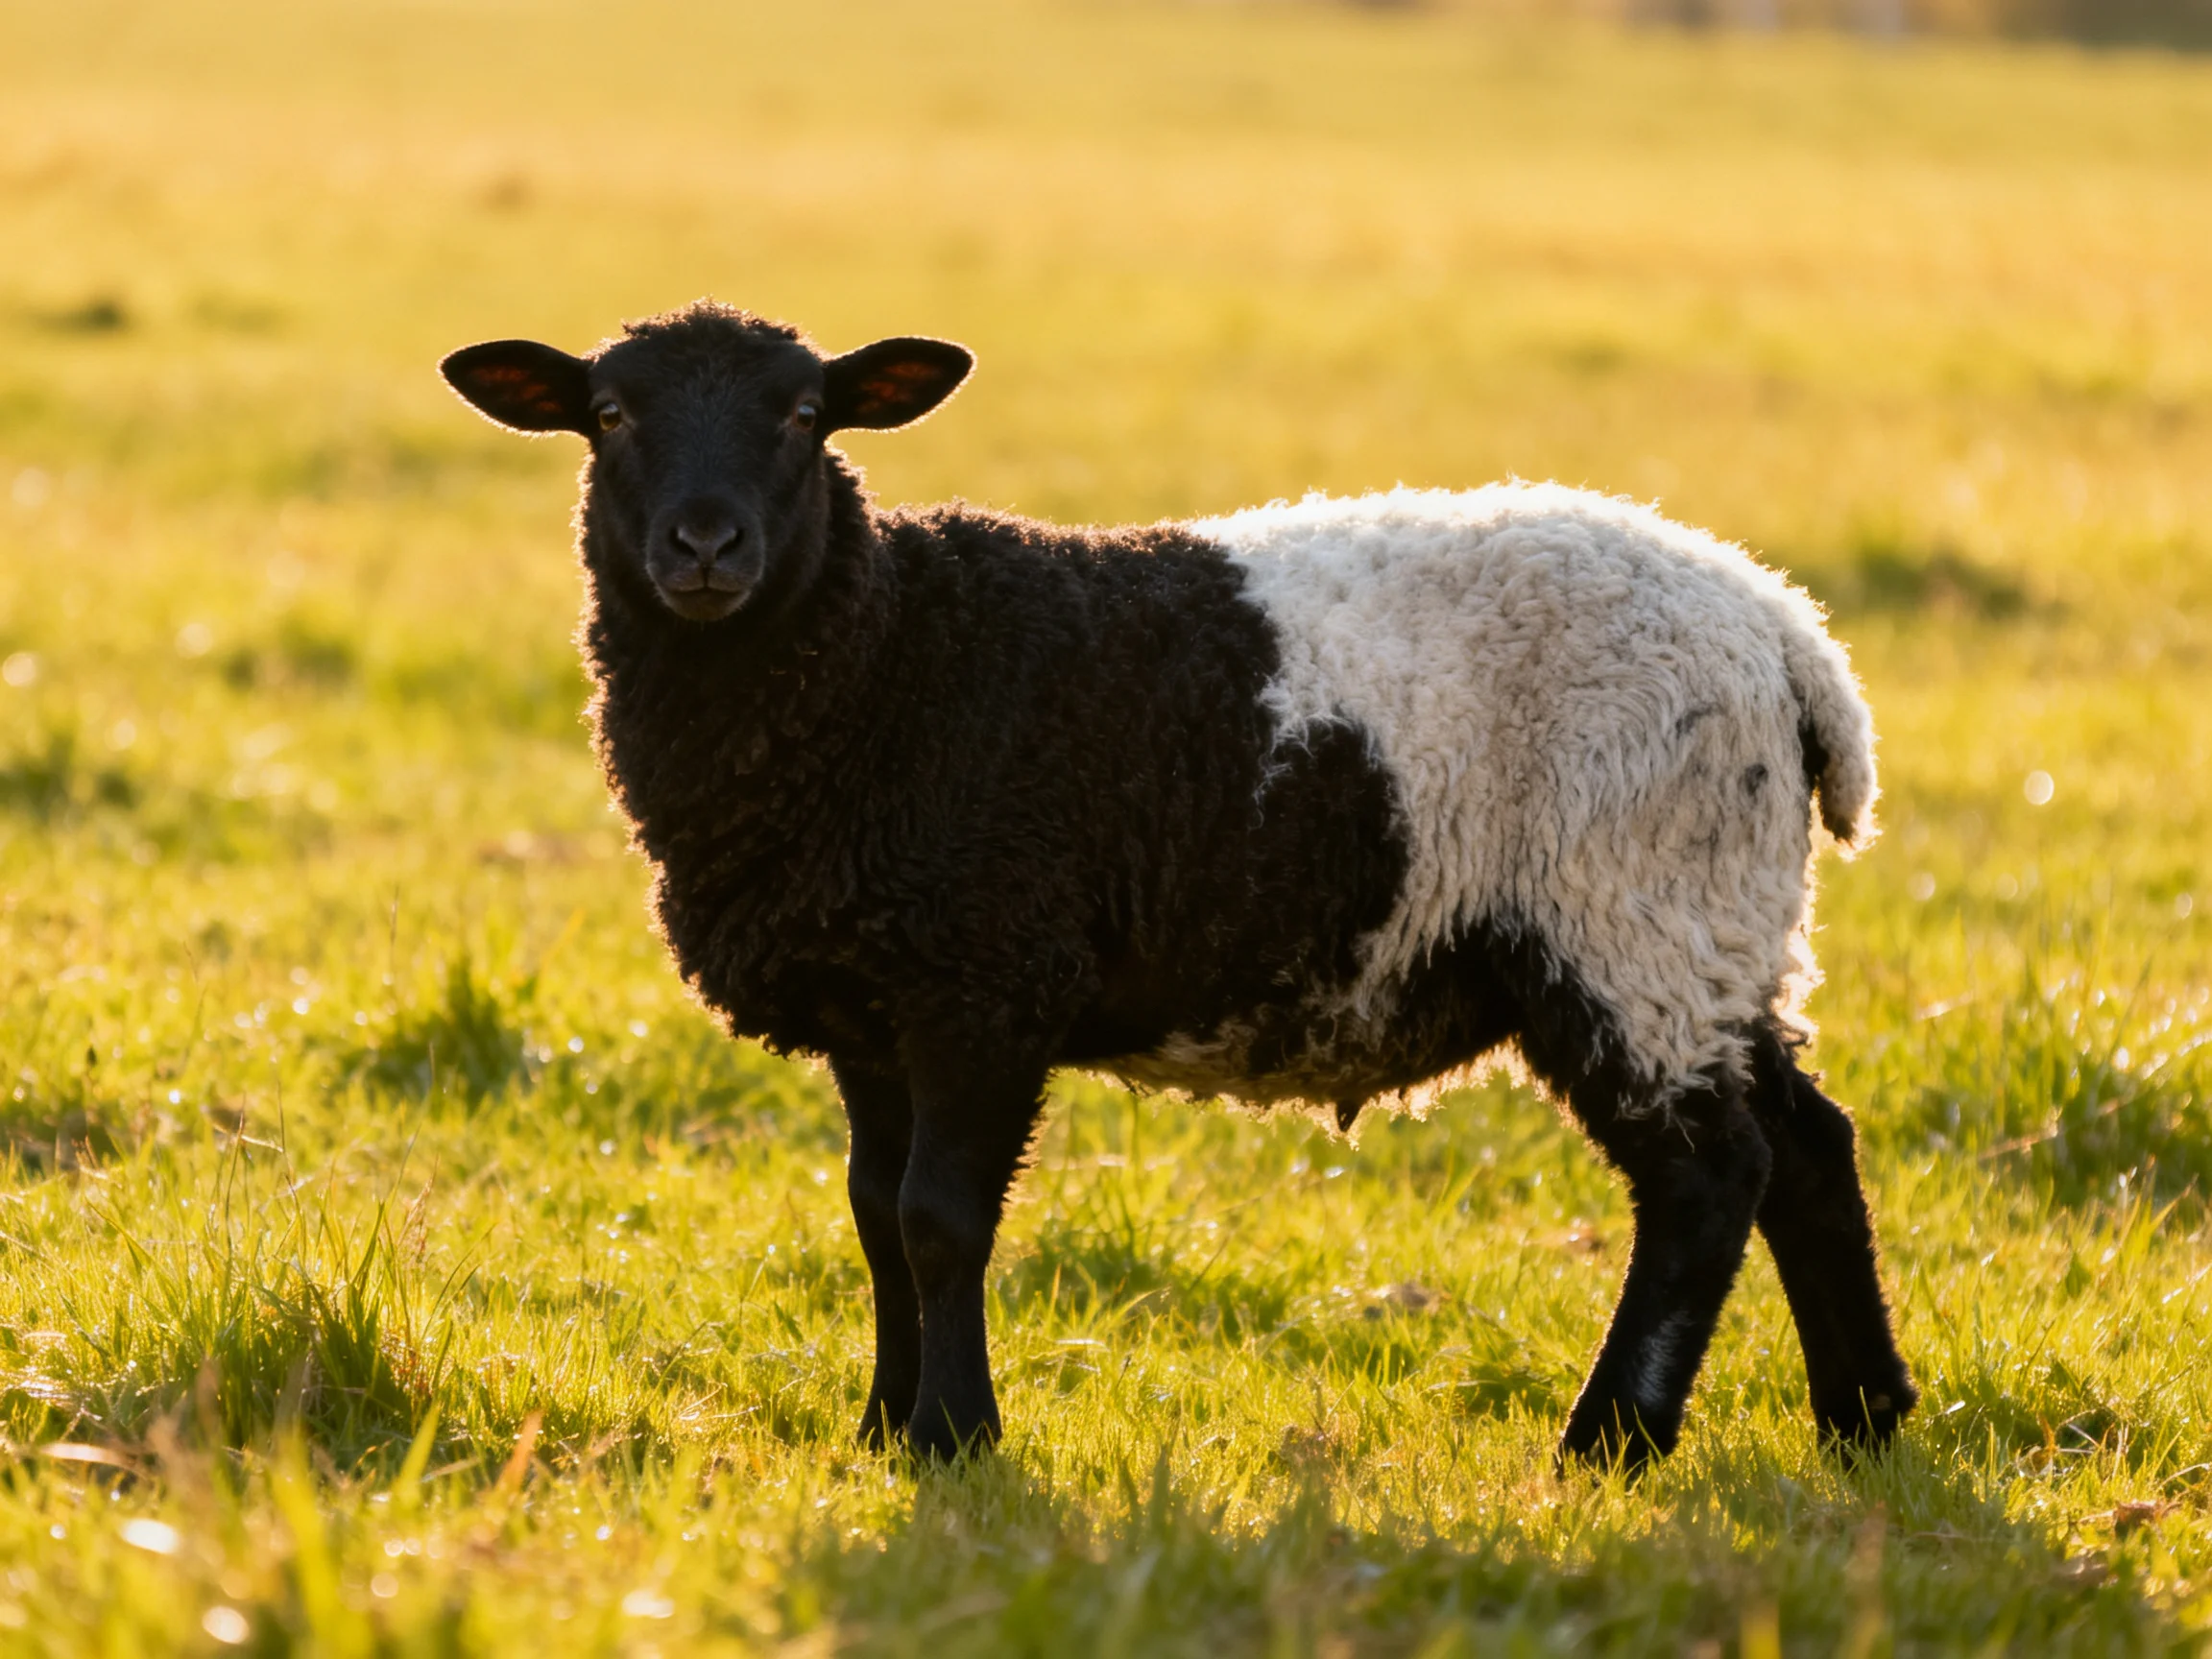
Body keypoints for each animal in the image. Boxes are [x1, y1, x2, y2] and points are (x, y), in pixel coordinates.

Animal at [440, 300, 1916, 1467]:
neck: (882, 654)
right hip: (1712, 932)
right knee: (1808, 1147)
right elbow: (870, 1215)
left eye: (805, 414)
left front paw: (955, 1440)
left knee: (1708, 1177)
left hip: (1627, 916)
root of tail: (1788, 638)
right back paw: (1864, 1419)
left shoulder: (987, 980)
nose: (706, 546)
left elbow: (938, 1220)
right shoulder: (873, 1003)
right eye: (610, 413)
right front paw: (880, 1425)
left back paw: (1612, 1441)